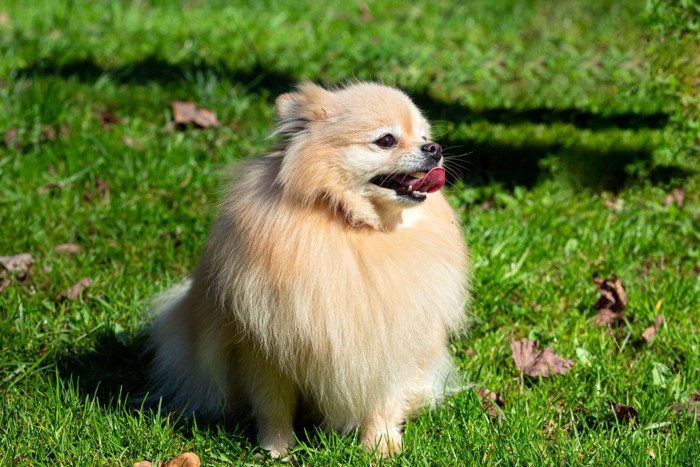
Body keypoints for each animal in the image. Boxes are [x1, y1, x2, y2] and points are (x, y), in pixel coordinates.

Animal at [146, 82, 470, 458]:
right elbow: (273, 403)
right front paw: (276, 449)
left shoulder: (392, 339)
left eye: (423, 135)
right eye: (386, 140)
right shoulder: (265, 347)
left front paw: (381, 445)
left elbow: (385, 398)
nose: (434, 149)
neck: (355, 226)